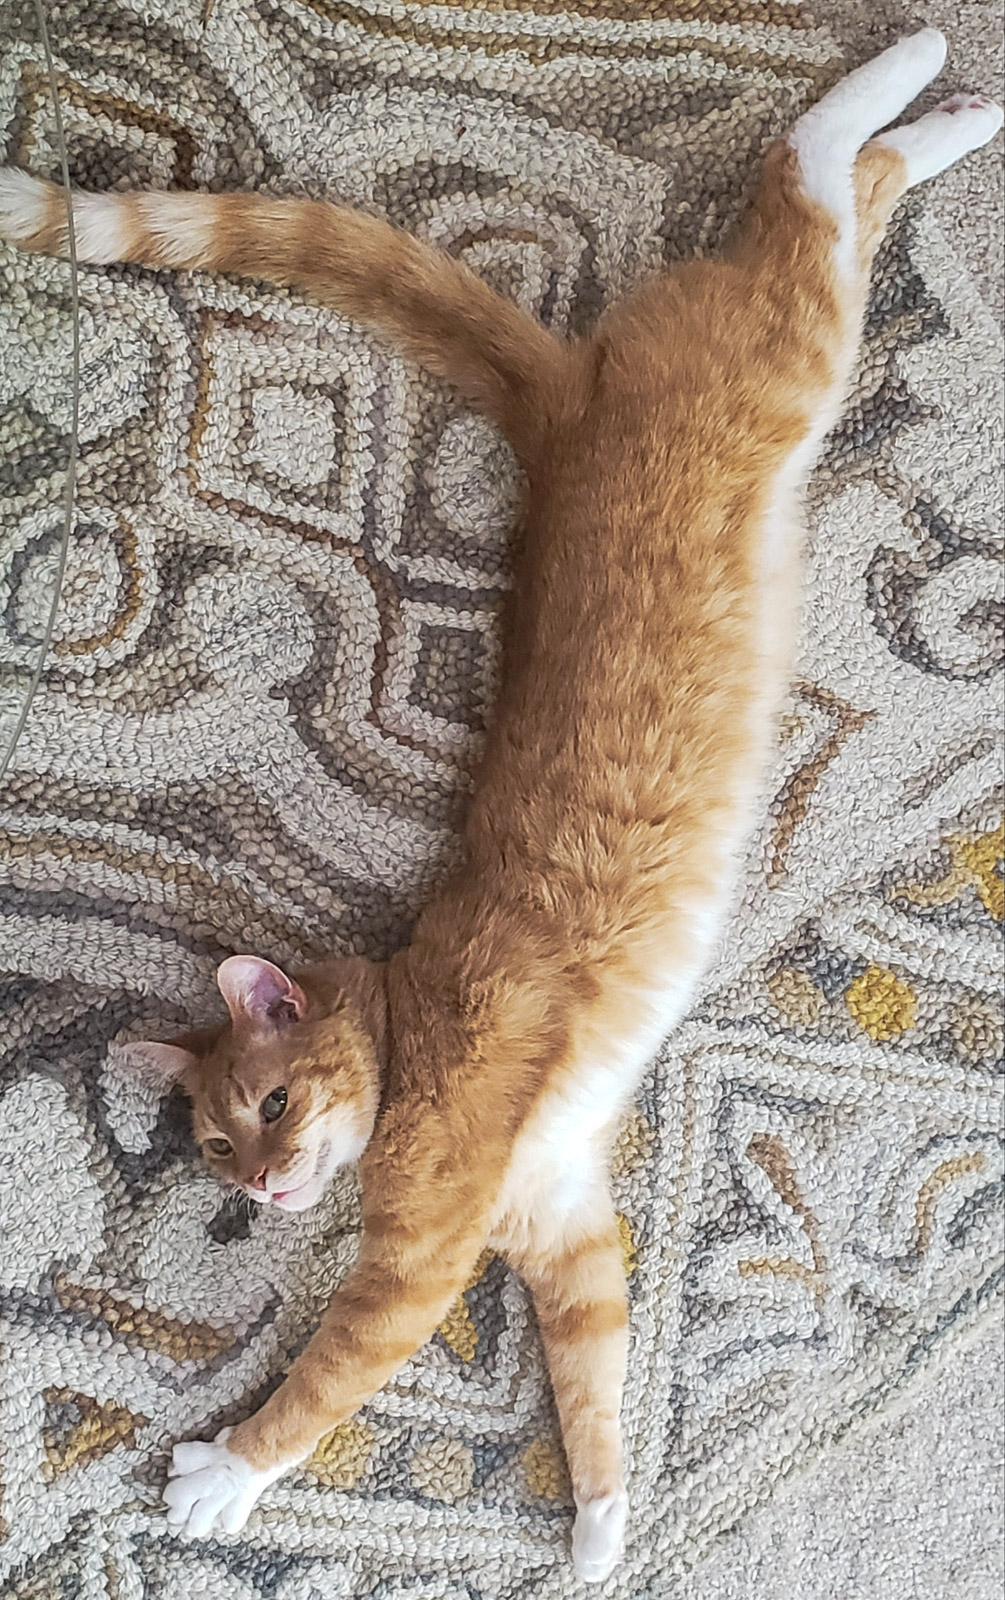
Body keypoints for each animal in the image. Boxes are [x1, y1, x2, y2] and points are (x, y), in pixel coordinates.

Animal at [3, 31, 998, 1580]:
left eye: (275, 1104)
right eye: (219, 1148)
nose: (267, 1190)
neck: (405, 1033)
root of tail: (561, 401)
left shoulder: (423, 1256)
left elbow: (329, 1377)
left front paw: (226, 1476)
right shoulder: (566, 1228)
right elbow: (593, 1387)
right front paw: (599, 1532)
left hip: (796, 345)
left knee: (812, 177)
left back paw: (914, 63)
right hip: (807, 355)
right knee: (869, 185)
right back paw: (956, 110)